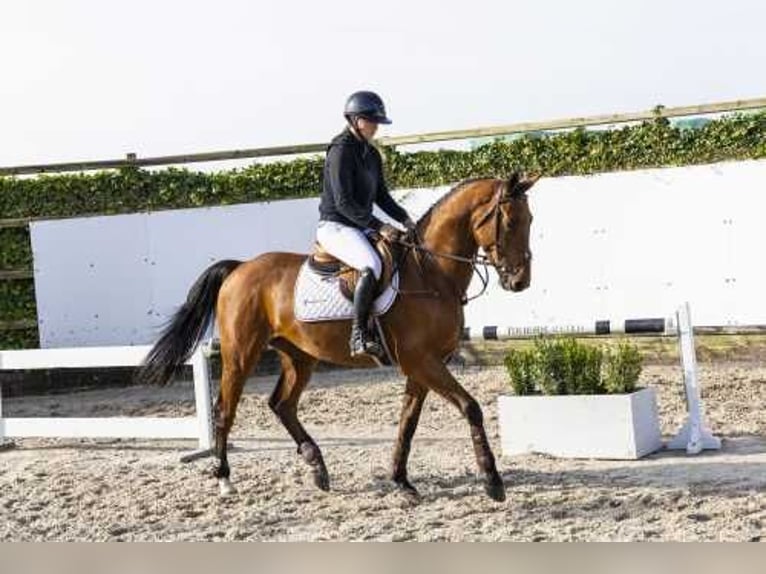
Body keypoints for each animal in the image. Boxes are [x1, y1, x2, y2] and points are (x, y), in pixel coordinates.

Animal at [141, 173, 540, 502]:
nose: (520, 281)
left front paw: (401, 481)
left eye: (530, 220)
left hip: (300, 356)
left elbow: (407, 423)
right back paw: (224, 478)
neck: (431, 272)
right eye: (511, 221)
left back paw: (316, 465)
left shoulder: (423, 366)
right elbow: (470, 407)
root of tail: (240, 268)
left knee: (282, 404)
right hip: (241, 354)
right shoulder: (421, 362)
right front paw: (492, 481)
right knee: (226, 410)